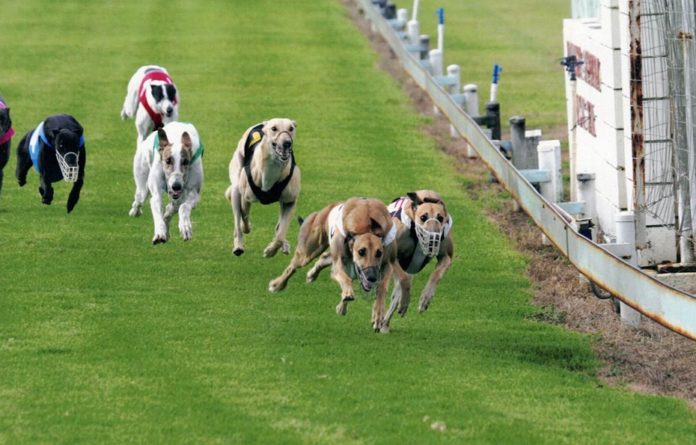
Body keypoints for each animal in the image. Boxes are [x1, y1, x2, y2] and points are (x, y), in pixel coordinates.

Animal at [224, 118, 298, 256]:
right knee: (238, 219)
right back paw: (238, 245)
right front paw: (245, 228)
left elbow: (281, 233)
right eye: (274, 128)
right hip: (237, 186)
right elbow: (244, 220)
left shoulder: (290, 201)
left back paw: (284, 244)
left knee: (280, 226)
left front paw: (271, 250)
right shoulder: (246, 198)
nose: (287, 143)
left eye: (291, 128)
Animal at [270, 197, 410, 330]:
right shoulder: (339, 263)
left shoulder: (387, 263)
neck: (367, 224)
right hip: (309, 251)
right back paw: (277, 283)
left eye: (379, 253)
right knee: (293, 266)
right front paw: (348, 295)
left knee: (324, 257)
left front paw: (378, 315)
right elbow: (344, 278)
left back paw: (313, 276)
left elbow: (382, 288)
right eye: (361, 251)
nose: (371, 277)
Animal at [380, 189, 456, 328]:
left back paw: (384, 323)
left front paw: (425, 299)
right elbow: (404, 279)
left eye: (440, 218)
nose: (433, 239)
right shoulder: (392, 257)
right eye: (423, 217)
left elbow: (436, 276)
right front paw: (405, 302)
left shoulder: (446, 257)